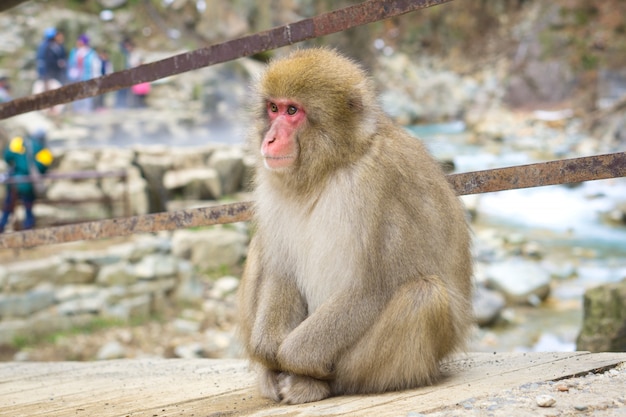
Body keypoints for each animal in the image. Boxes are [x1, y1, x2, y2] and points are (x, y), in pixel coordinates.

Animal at [236, 48, 470, 404]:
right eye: (273, 108)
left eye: (293, 111)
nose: (270, 138)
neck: (334, 164)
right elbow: (281, 269)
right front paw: (267, 352)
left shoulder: (378, 184)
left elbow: (371, 288)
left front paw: (290, 359)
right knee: (261, 246)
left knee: (424, 294)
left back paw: (317, 383)